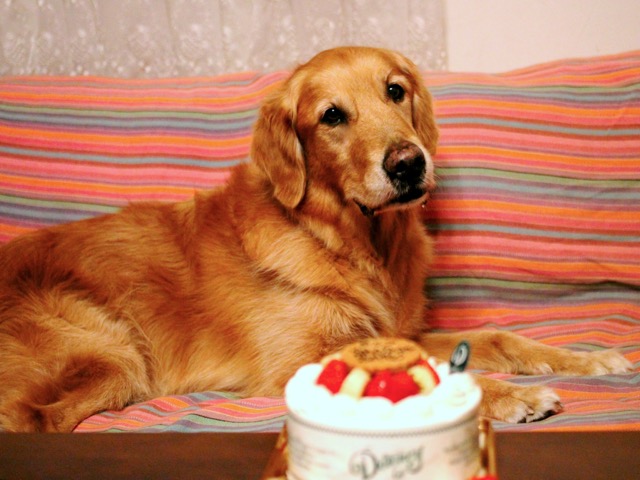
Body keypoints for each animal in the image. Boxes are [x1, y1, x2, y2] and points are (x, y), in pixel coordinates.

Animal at [0, 47, 631, 432]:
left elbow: (498, 337)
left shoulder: (397, 332)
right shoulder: (302, 362)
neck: (354, 243)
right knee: (36, 418)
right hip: (116, 356)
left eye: (395, 91)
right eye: (332, 116)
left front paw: (585, 358)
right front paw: (510, 397)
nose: (409, 163)